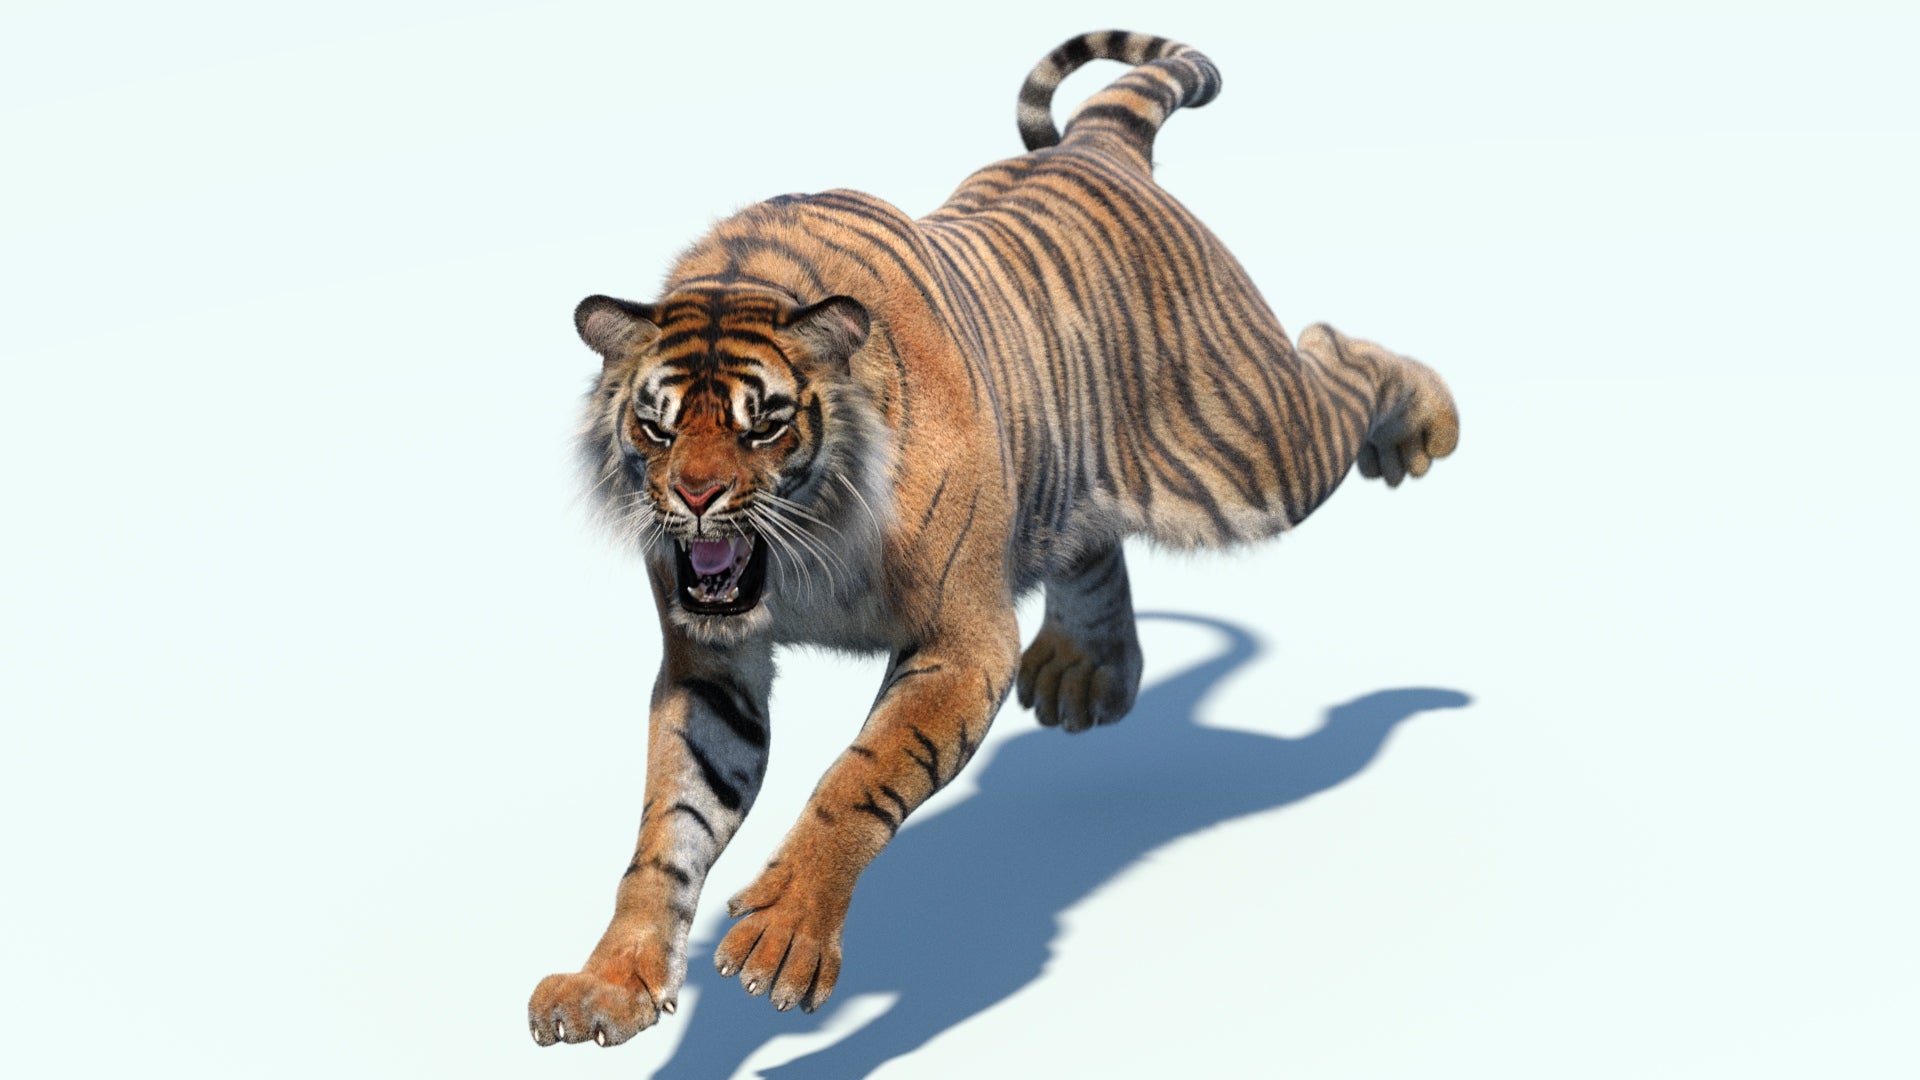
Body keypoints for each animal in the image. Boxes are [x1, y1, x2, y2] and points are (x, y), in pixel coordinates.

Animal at [530, 29, 1459, 1048]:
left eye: (761, 424)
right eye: (656, 427)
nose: (694, 498)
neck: (806, 549)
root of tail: (1095, 143)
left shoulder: (964, 641)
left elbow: (857, 779)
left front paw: (783, 935)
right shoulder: (710, 665)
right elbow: (668, 829)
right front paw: (610, 980)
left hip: (1253, 450)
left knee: (1337, 357)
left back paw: (1424, 426)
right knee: (1093, 537)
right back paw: (1088, 673)